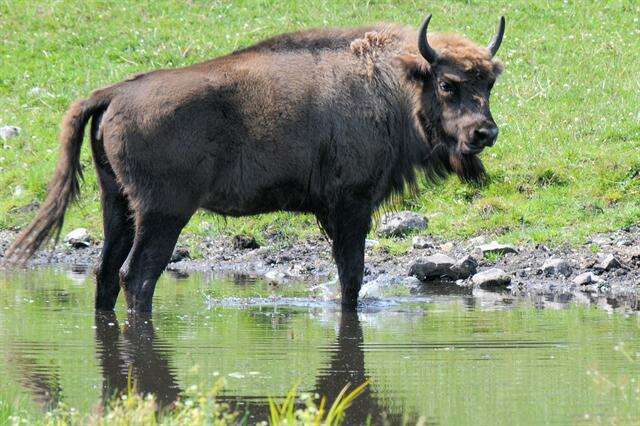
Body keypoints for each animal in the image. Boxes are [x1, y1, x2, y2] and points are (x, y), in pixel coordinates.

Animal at [5, 13, 504, 312]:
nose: (485, 132)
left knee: (107, 273)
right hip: (163, 214)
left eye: (489, 84)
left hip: (118, 205)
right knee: (138, 276)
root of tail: (115, 93)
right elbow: (351, 277)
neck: (391, 82)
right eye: (448, 84)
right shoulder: (350, 206)